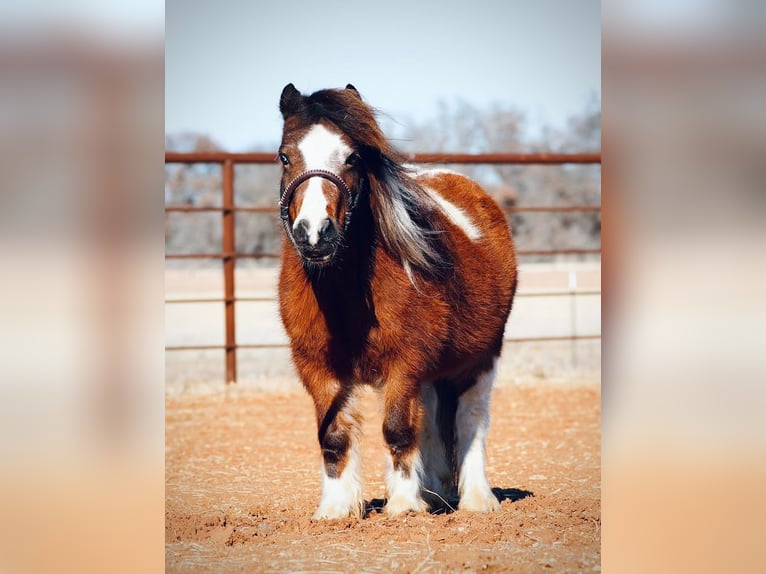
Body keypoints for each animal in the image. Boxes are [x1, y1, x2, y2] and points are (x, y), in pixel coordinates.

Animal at [276, 83, 517, 519]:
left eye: (352, 158)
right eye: (285, 156)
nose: (314, 233)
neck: (344, 294)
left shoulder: (404, 365)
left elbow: (398, 429)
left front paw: (404, 505)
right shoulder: (317, 367)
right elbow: (333, 436)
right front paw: (336, 508)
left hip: (481, 358)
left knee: (471, 419)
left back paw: (477, 499)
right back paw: (436, 493)